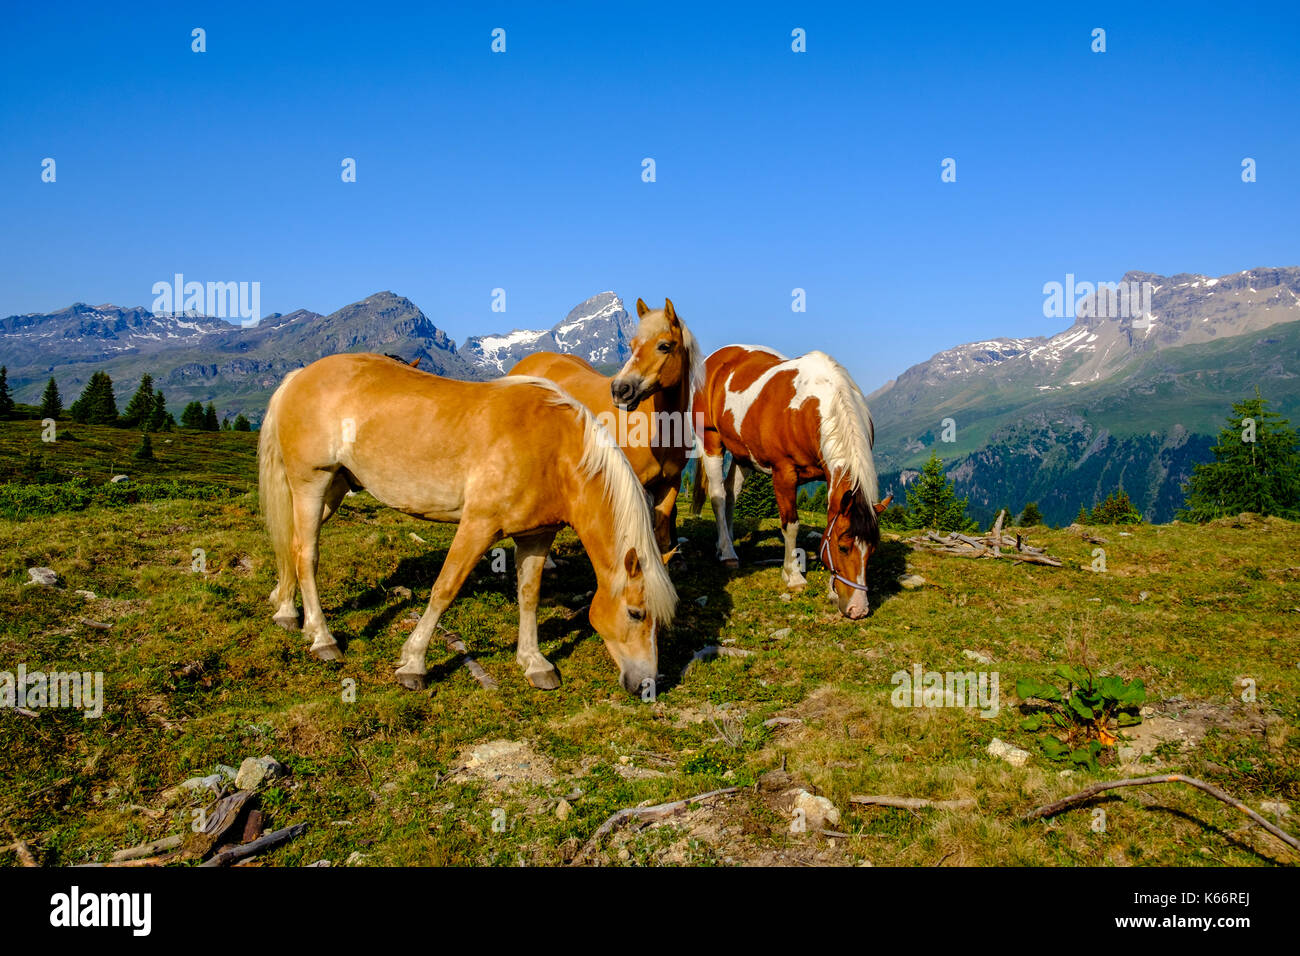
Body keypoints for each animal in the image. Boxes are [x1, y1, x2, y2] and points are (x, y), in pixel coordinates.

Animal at [258, 352, 677, 695]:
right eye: (636, 613)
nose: (646, 685)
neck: (555, 450)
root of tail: (299, 374)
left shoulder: (536, 536)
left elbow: (529, 595)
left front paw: (534, 662)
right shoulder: (478, 526)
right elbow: (445, 589)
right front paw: (413, 663)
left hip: (333, 489)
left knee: (291, 545)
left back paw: (286, 611)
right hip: (311, 483)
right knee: (306, 553)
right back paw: (323, 638)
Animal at [691, 345, 892, 619]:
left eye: (872, 550)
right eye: (843, 547)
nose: (858, 609)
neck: (810, 409)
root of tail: (716, 358)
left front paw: (831, 590)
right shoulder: (784, 474)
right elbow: (791, 525)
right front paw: (793, 576)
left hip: (744, 456)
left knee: (731, 493)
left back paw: (725, 544)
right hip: (711, 442)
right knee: (718, 496)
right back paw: (728, 554)